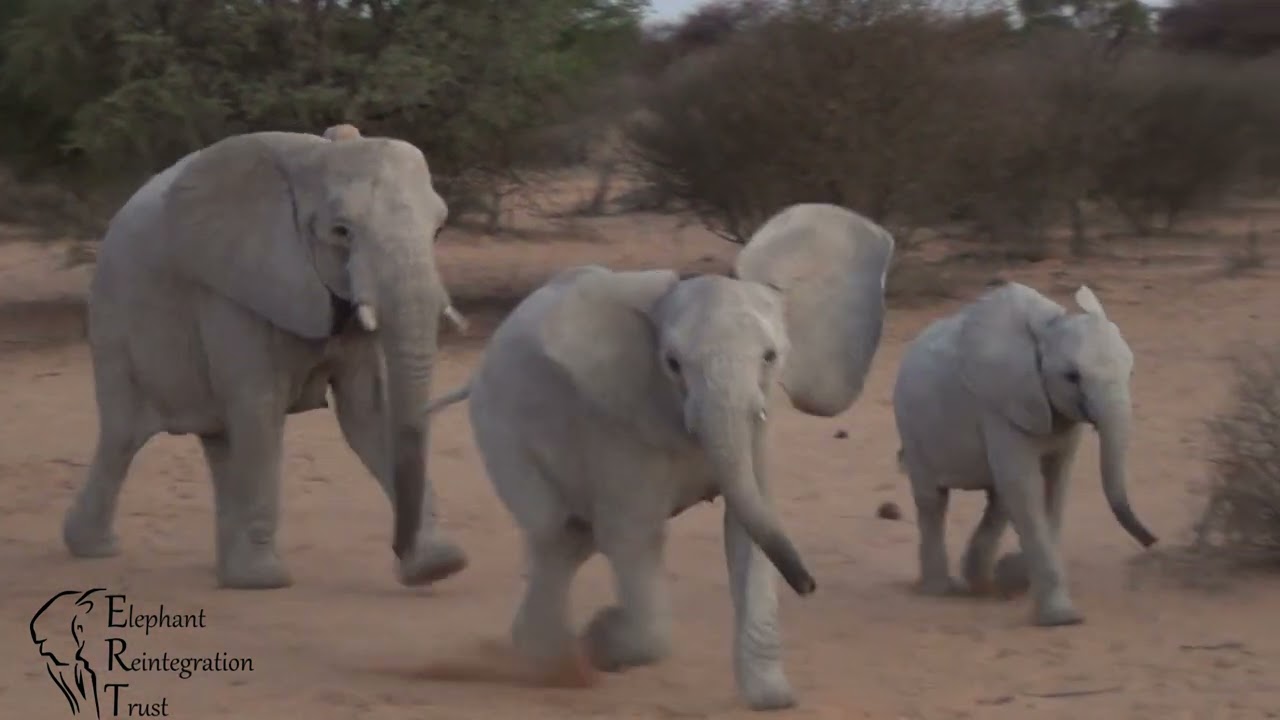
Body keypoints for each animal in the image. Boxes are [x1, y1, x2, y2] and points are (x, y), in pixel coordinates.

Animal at [61, 130, 468, 590]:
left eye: (439, 230)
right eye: (341, 231)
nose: (399, 551)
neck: (315, 158)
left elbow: (368, 412)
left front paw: (439, 564)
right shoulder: (232, 288)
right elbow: (260, 406)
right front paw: (265, 579)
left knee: (218, 440)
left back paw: (226, 572)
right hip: (112, 321)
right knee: (123, 437)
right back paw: (94, 548)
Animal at [424, 203, 894, 710]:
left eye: (770, 357)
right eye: (671, 364)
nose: (808, 585)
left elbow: (749, 526)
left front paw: (773, 700)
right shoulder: (618, 426)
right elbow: (635, 536)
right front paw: (601, 639)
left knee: (575, 540)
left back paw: (542, 655)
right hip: (500, 429)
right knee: (556, 532)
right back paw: (555, 661)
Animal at [891, 280, 1157, 627]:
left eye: (1131, 371)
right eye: (1072, 376)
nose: (1152, 541)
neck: (1048, 329)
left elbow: (1055, 485)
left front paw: (1015, 575)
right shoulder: (1002, 404)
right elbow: (1025, 485)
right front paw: (1062, 619)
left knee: (998, 500)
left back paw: (980, 582)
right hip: (912, 425)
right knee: (933, 500)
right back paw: (941, 590)